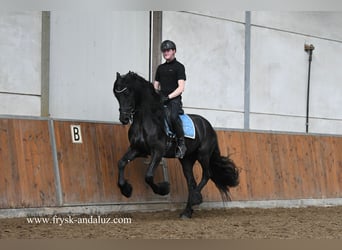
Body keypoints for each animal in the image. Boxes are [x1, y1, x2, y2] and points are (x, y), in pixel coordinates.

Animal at [113, 71, 239, 218]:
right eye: (116, 95)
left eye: (127, 93)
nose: (124, 119)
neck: (147, 119)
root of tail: (208, 126)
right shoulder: (137, 149)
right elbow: (121, 163)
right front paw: (126, 190)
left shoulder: (158, 151)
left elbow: (148, 176)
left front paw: (164, 189)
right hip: (187, 159)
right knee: (191, 182)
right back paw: (187, 212)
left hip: (203, 155)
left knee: (206, 174)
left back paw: (196, 198)